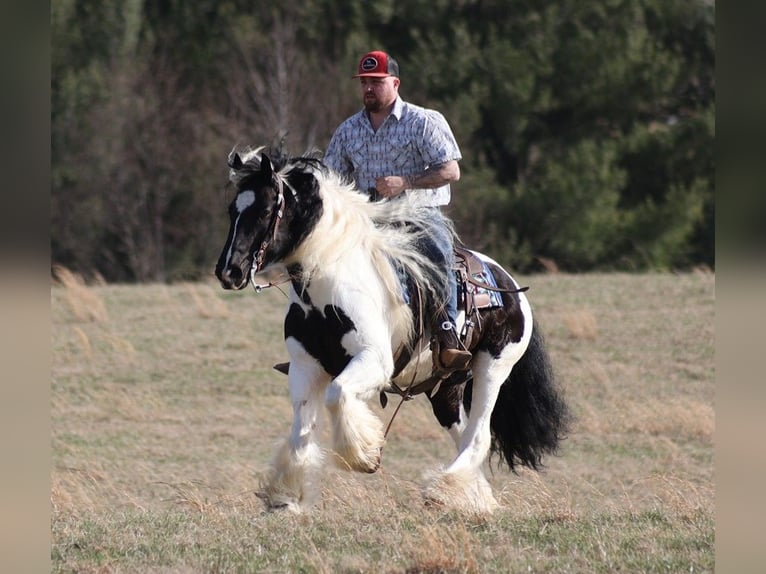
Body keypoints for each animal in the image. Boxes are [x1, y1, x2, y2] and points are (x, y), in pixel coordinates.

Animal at [216, 146, 568, 516]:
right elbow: (301, 433)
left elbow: (337, 394)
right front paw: (285, 496)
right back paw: (471, 497)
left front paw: (364, 455)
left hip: (493, 367)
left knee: (479, 436)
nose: (229, 271)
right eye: (232, 209)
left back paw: (443, 491)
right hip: (446, 387)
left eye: (266, 209)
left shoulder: (373, 361)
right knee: (462, 434)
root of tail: (508, 282)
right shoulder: (305, 367)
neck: (329, 283)